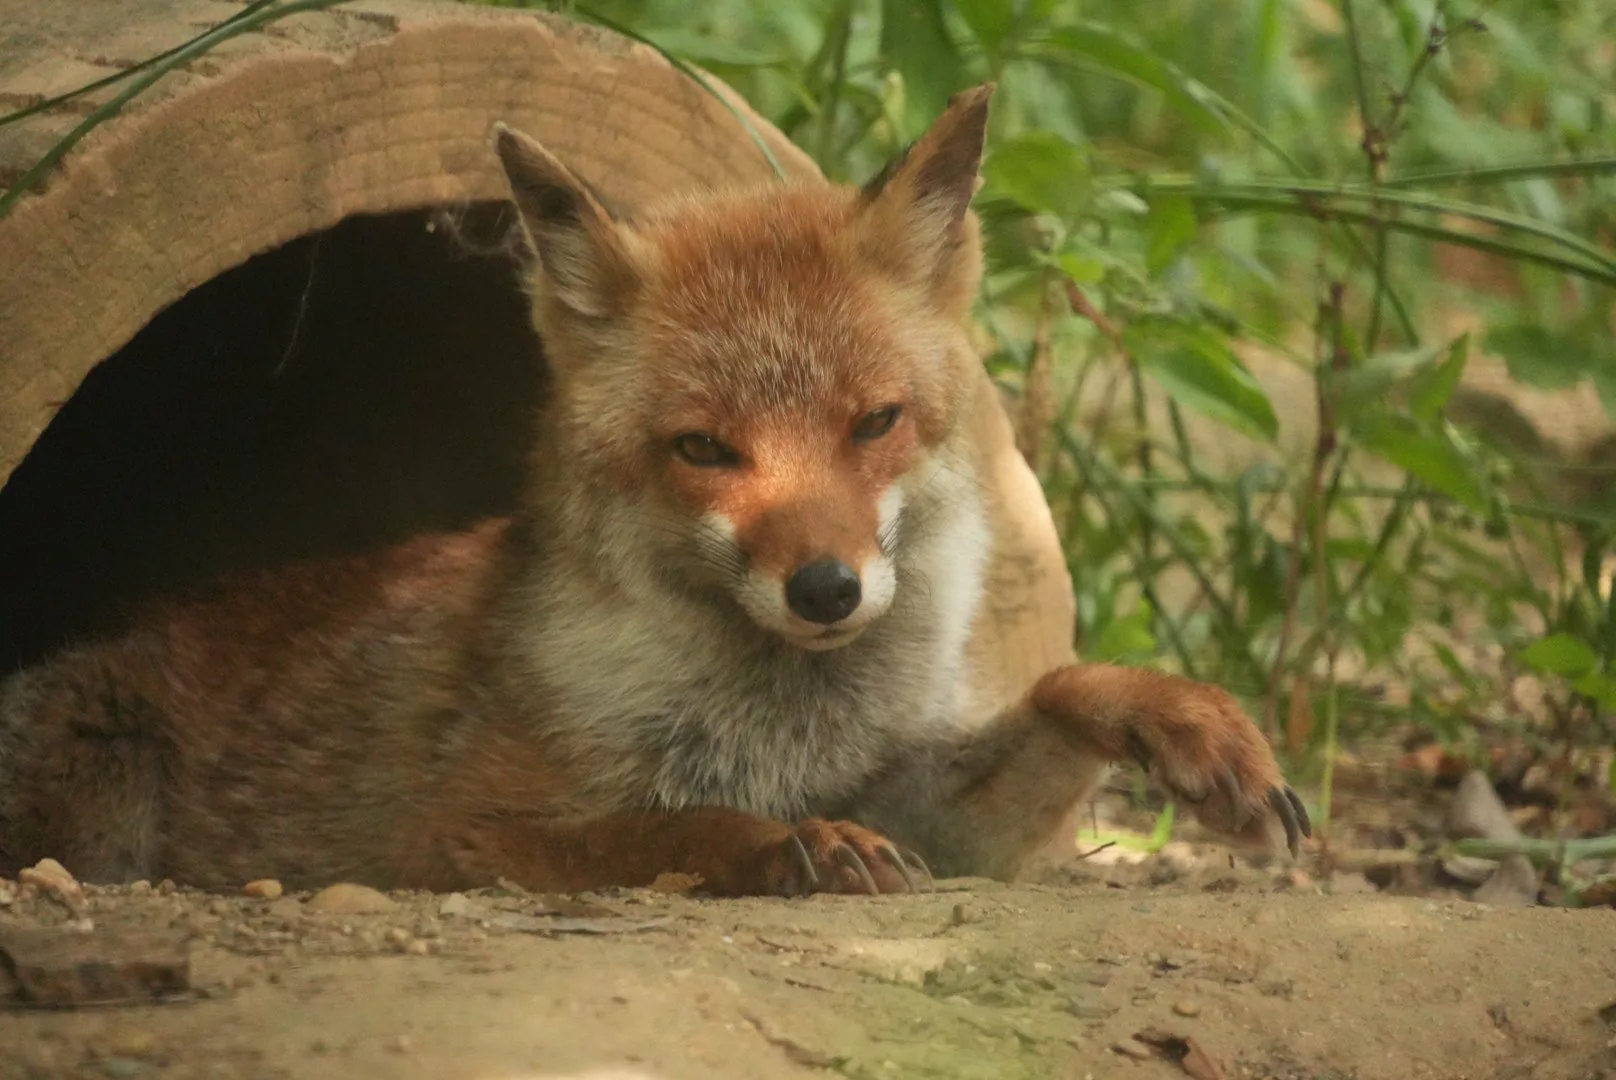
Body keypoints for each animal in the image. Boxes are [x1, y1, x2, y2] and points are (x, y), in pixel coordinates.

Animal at [0, 84, 1308, 897]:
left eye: (874, 423)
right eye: (703, 448)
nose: (826, 590)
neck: (776, 721)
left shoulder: (922, 802)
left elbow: (1058, 691)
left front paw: (1186, 721)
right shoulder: (448, 830)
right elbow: (671, 826)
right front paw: (784, 845)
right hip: (103, 793)